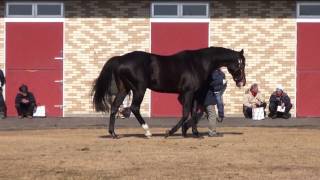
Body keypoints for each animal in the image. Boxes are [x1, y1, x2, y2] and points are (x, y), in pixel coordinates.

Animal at [91, 46, 246, 138]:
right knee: (134, 107)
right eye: (241, 64)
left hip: (124, 89)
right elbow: (186, 113)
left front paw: (194, 133)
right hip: (139, 89)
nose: (242, 82)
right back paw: (147, 131)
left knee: (114, 107)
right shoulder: (188, 92)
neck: (199, 63)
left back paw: (113, 134)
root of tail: (121, 59)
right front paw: (170, 132)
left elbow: (193, 112)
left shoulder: (194, 94)